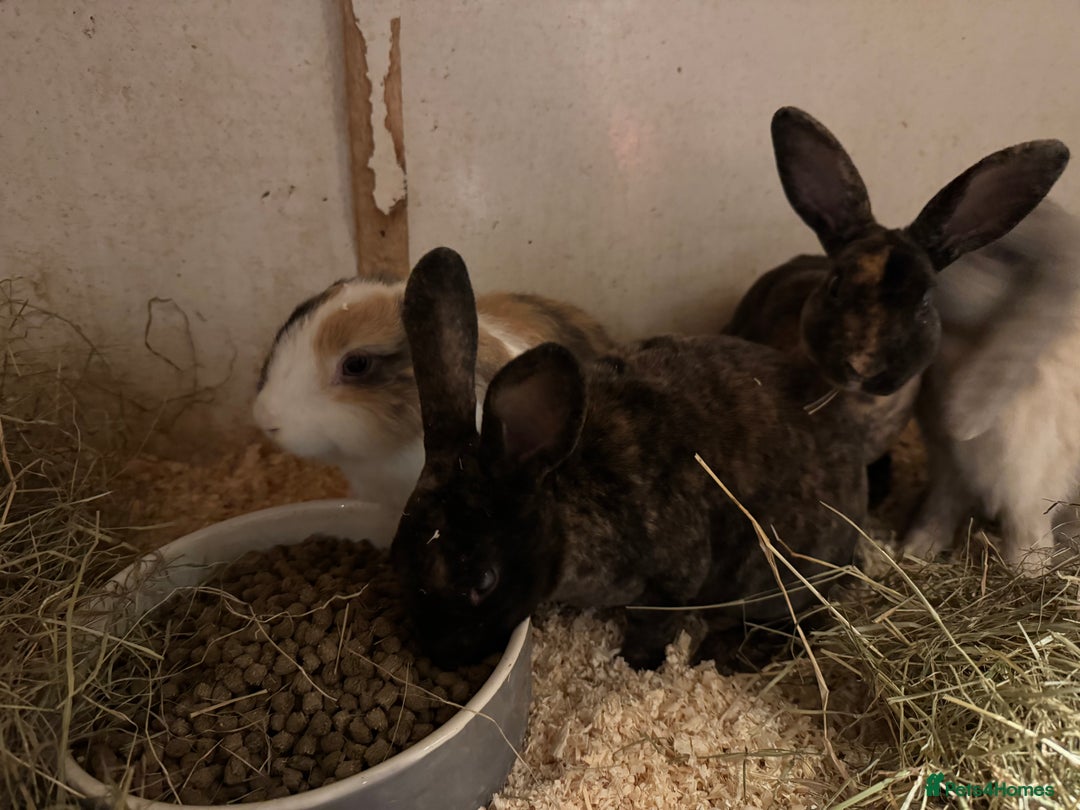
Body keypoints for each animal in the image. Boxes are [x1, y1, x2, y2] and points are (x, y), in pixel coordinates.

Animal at [390, 246, 871, 671]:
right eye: (395, 554)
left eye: (483, 582)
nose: (443, 655)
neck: (563, 500)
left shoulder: (670, 584)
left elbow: (651, 628)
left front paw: (635, 664)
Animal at [904, 198, 1080, 573]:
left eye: (1001, 255)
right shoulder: (947, 465)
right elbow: (939, 509)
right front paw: (914, 549)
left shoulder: (1031, 475)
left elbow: (1027, 528)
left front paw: (1026, 570)